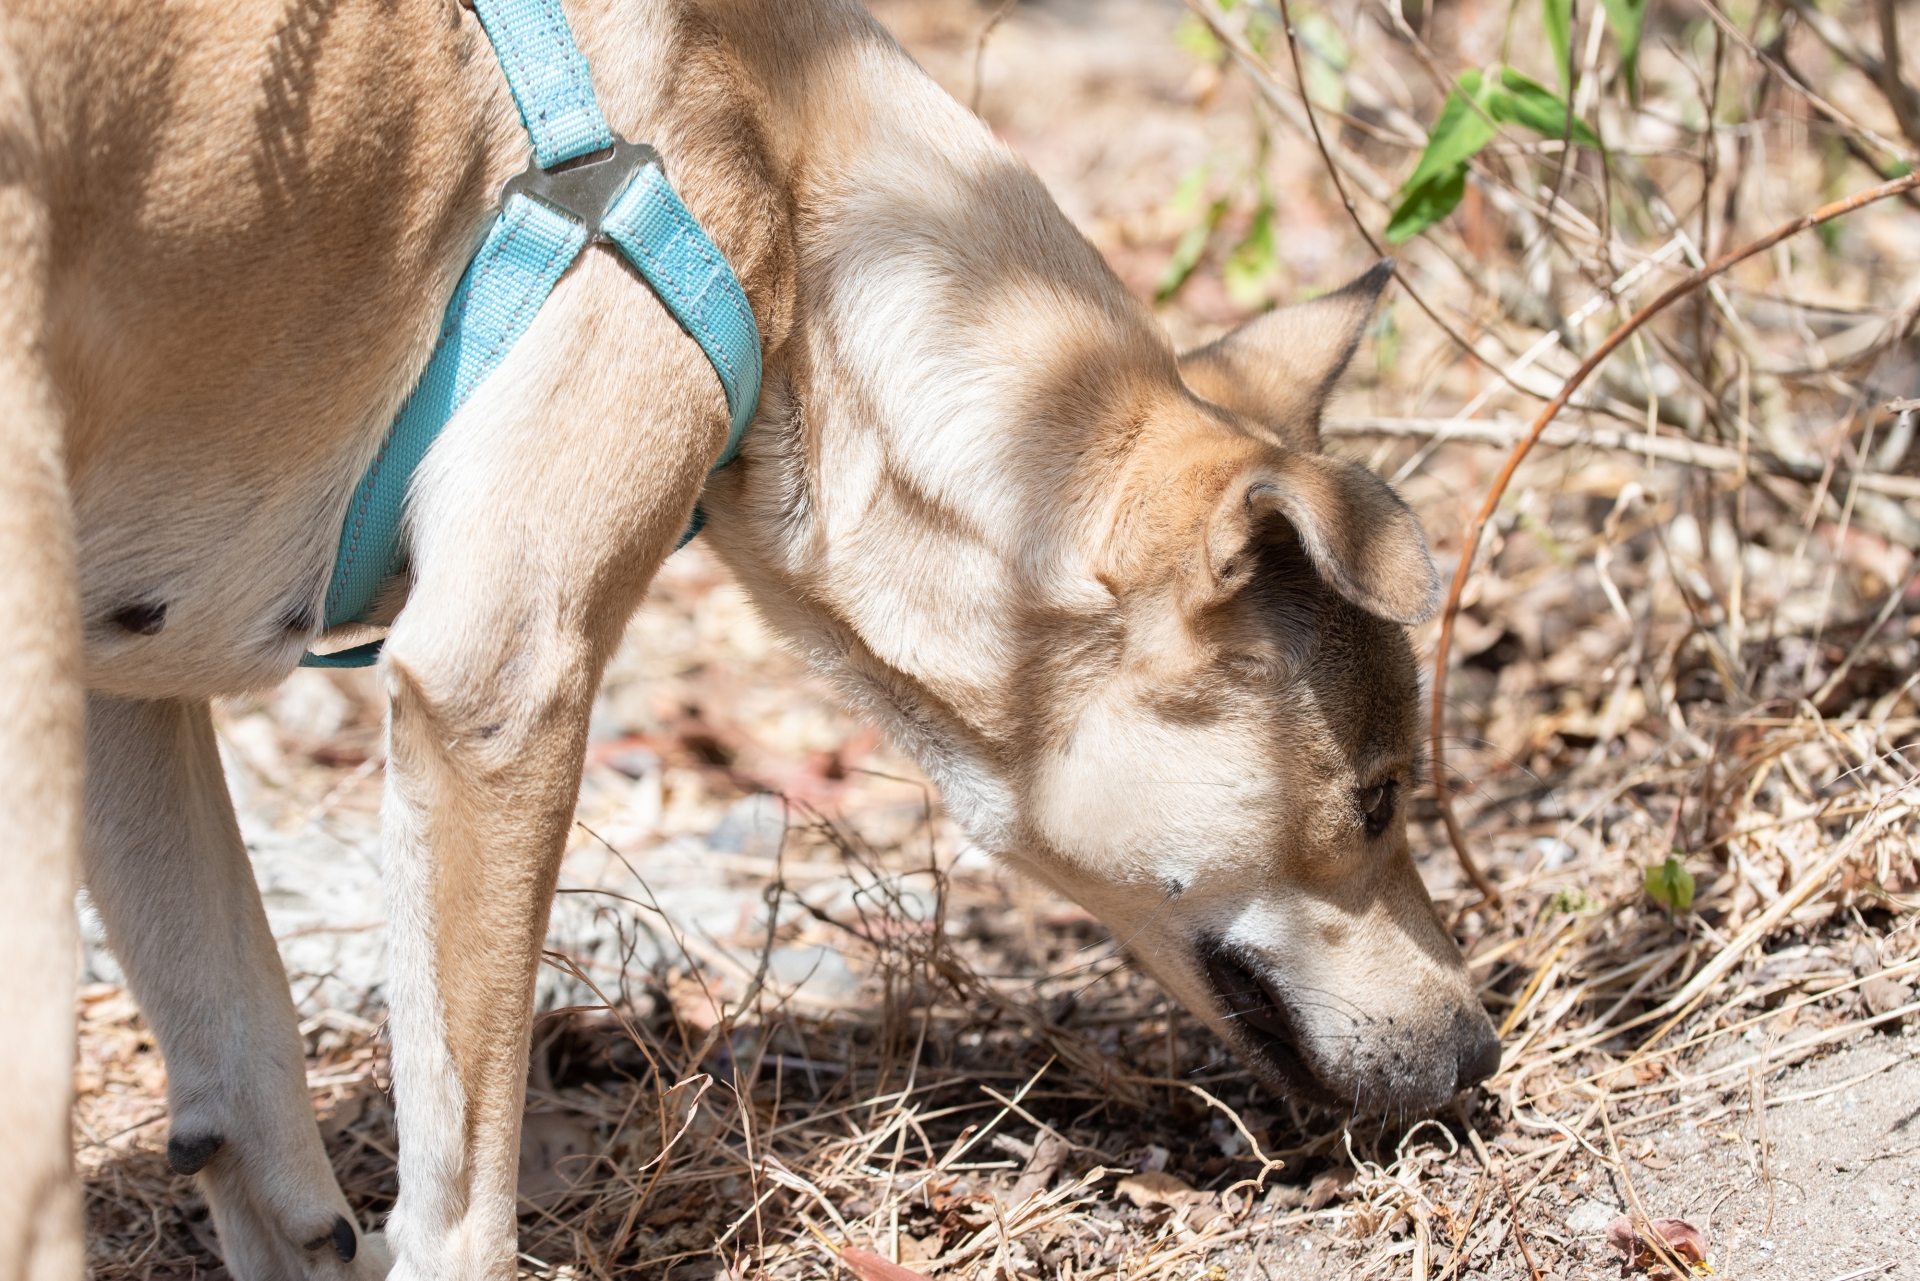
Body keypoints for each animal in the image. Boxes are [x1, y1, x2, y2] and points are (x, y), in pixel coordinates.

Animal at [0, 0, 1497, 1275]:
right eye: (1376, 799)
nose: (1484, 1050)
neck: (765, 153)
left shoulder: (129, 691)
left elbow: (247, 1075)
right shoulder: (498, 682)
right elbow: (463, 1180)